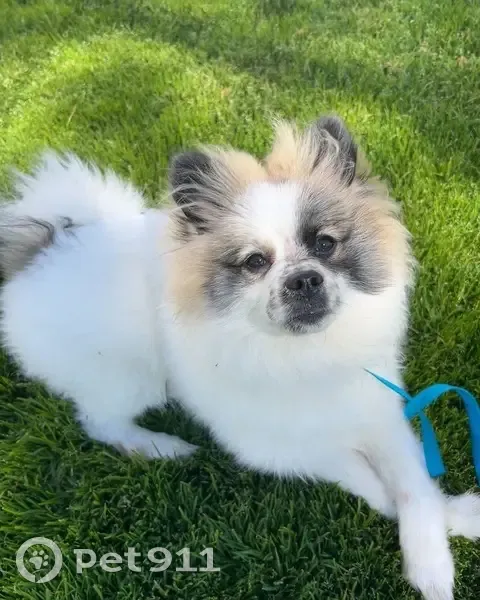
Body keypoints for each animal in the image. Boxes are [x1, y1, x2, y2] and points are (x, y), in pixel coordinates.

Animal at [0, 116, 478, 599]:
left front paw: (439, 546)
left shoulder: (376, 410)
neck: (303, 354)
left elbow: (414, 487)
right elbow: (369, 481)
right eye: (254, 262)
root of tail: (43, 248)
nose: (304, 280)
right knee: (100, 422)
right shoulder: (275, 446)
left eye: (325, 245)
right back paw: (161, 446)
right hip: (132, 380)